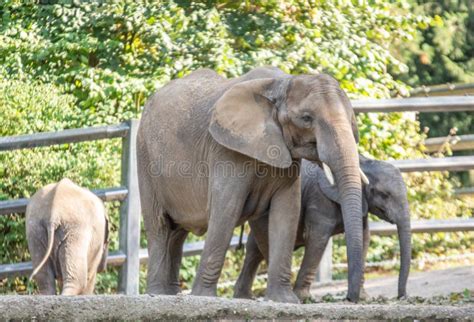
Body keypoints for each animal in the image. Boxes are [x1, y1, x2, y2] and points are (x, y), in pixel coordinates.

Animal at [137, 66, 366, 304]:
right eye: (306, 118)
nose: (350, 298)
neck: (281, 83)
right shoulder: (226, 150)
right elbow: (226, 209)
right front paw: (203, 297)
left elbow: (287, 211)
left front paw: (284, 300)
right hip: (145, 157)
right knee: (159, 226)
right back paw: (157, 294)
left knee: (177, 233)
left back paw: (170, 294)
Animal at [234, 157, 412, 300]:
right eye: (384, 194)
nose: (401, 296)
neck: (363, 161)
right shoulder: (319, 199)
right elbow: (318, 238)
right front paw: (304, 298)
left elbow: (364, 237)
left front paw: (364, 298)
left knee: (253, 250)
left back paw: (244, 297)